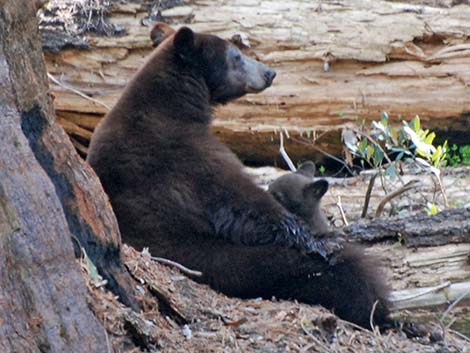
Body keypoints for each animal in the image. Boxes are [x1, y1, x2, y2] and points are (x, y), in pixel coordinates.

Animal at [87, 22, 390, 328]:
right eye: (236, 55)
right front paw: (317, 238)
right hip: (209, 254)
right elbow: (238, 198)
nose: (270, 72)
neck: (173, 105)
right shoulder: (182, 153)